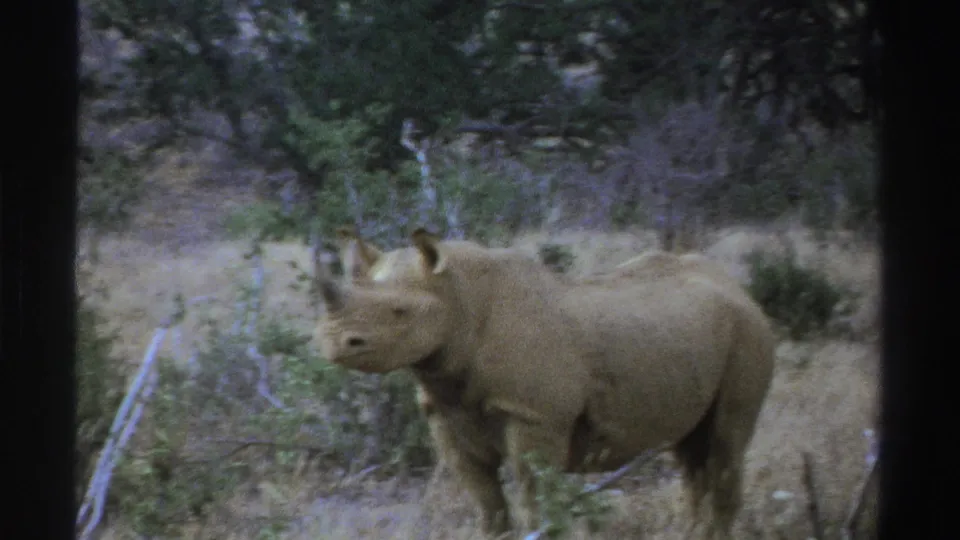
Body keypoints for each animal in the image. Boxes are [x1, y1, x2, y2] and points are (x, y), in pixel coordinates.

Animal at [314, 227, 776, 539]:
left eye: (400, 312)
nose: (335, 342)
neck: (459, 299)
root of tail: (738, 286)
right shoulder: (446, 411)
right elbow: (486, 502)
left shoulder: (534, 415)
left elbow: (534, 497)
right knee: (692, 454)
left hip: (749, 331)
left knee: (726, 444)